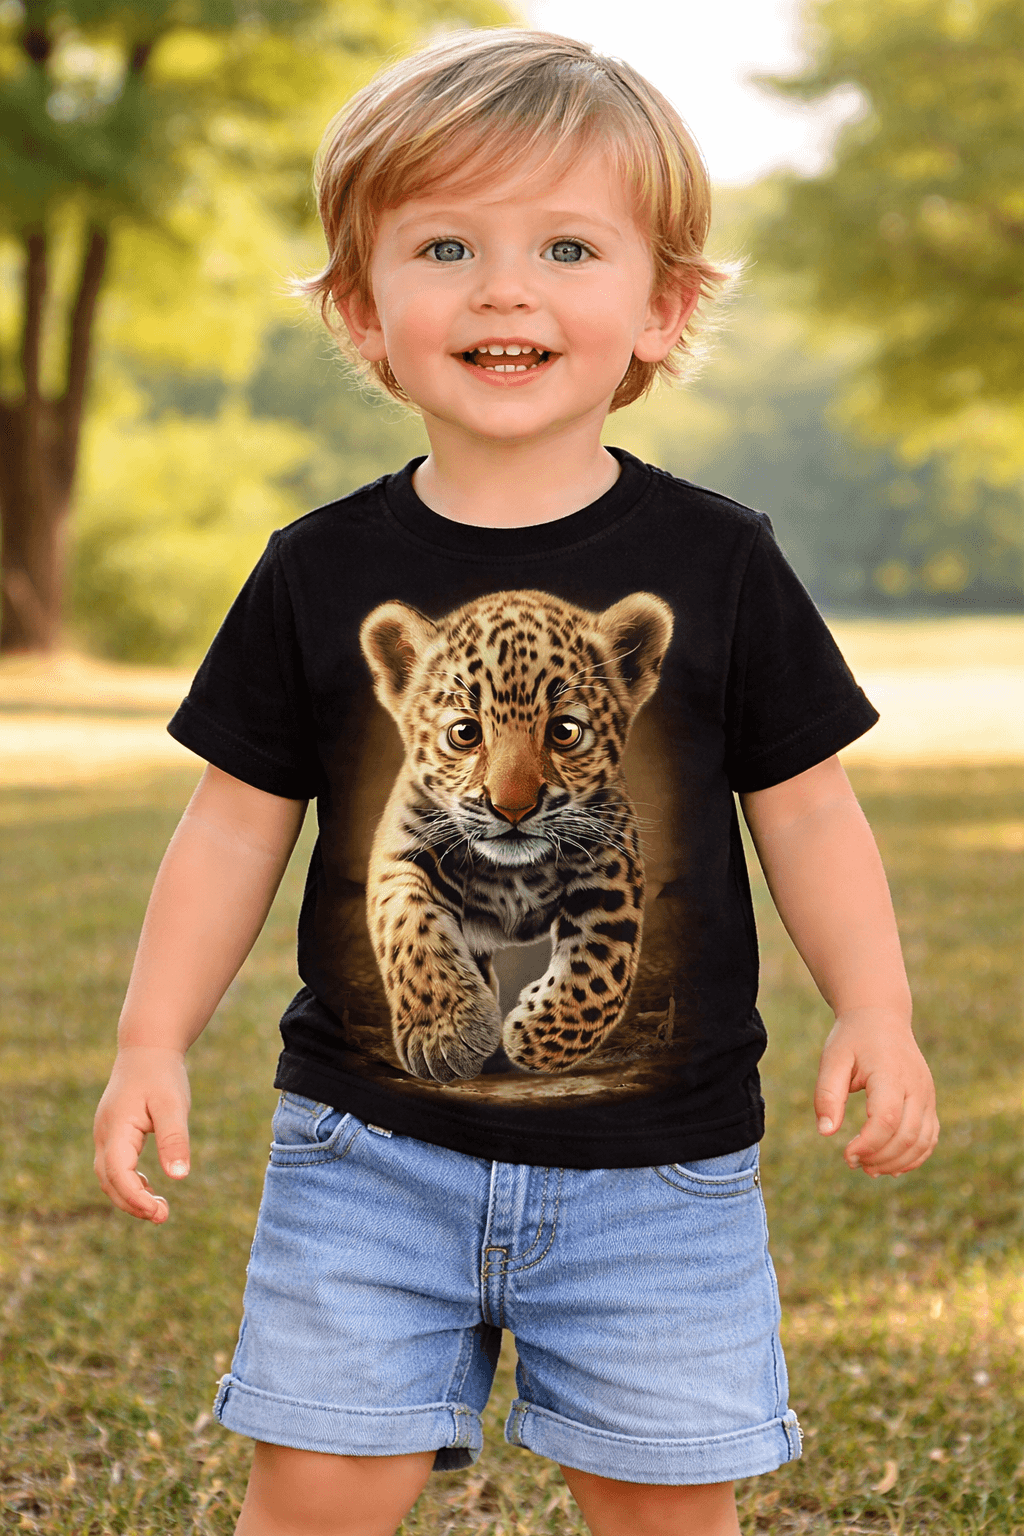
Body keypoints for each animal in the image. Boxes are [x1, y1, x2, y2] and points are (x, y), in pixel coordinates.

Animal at [358, 588, 674, 1083]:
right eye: (464, 733)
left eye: (565, 731)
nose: (512, 808)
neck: (512, 873)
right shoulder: (407, 845)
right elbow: (408, 926)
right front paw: (445, 1036)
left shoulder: (610, 857)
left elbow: (603, 958)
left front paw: (540, 1037)